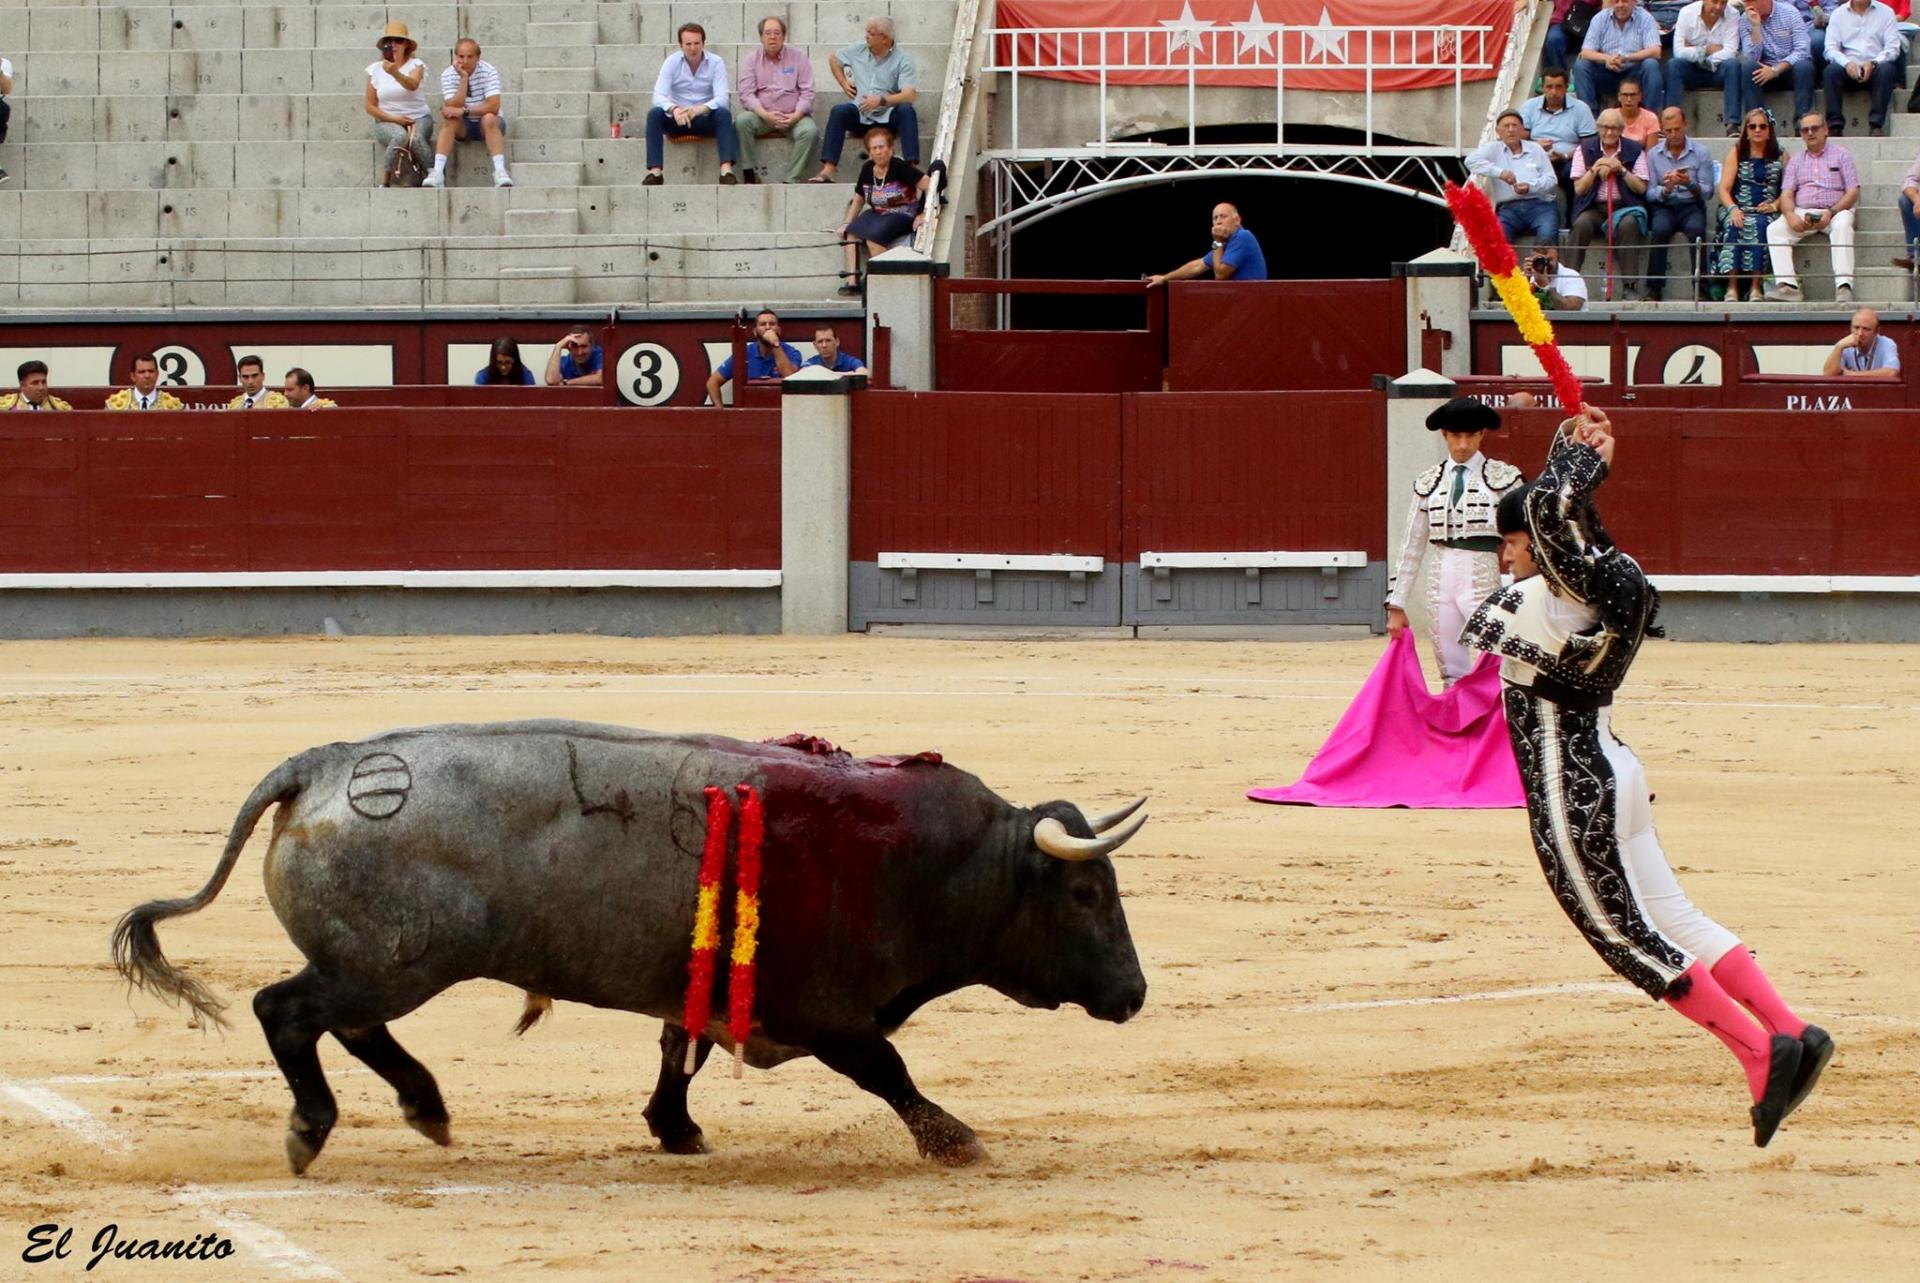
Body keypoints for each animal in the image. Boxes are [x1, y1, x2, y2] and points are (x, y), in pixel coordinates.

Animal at [112, 722, 1144, 1175]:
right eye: (1087, 892)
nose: (1135, 994)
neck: (941, 862)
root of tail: (321, 764)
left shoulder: (704, 980)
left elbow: (678, 1051)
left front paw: (674, 1128)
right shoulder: (825, 1012)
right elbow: (887, 1068)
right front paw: (955, 1139)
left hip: (383, 966)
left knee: (347, 1026)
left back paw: (427, 1107)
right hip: (392, 963)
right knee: (286, 1010)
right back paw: (312, 1128)